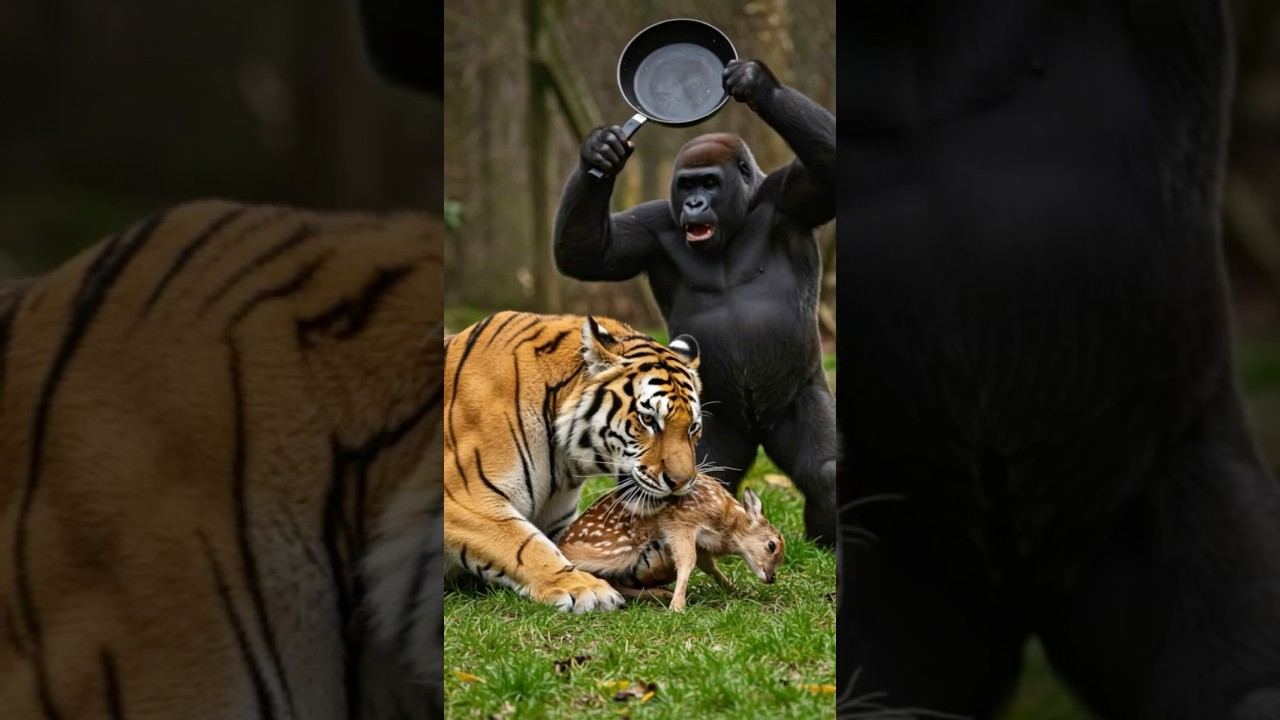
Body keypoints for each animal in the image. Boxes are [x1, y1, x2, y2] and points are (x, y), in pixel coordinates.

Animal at [444, 311, 704, 613]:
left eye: (693, 427)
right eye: (648, 419)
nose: (681, 483)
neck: (562, 461)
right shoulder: (462, 498)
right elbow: (525, 543)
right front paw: (582, 588)